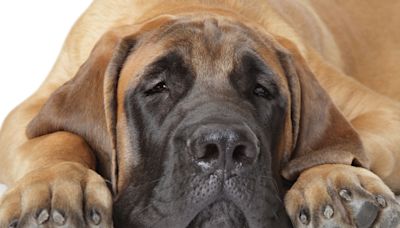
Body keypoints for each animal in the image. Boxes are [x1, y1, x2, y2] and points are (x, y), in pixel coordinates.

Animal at [0, 0, 400, 227]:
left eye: (261, 91)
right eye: (158, 87)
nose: (224, 148)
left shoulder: (379, 109)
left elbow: (333, 145)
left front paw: (331, 180)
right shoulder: (25, 114)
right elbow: (57, 137)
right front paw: (54, 185)